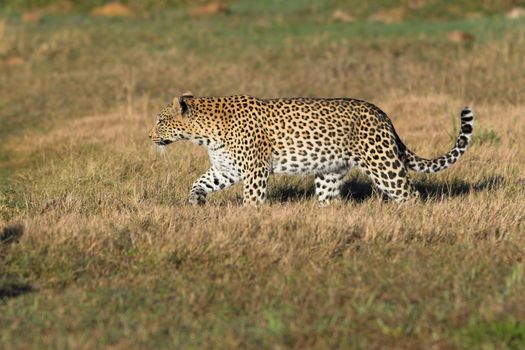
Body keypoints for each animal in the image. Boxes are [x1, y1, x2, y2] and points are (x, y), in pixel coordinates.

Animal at [148, 93, 474, 206]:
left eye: (160, 120)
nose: (149, 136)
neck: (204, 133)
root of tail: (382, 114)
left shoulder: (255, 171)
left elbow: (252, 199)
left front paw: (250, 216)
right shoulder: (226, 169)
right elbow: (200, 181)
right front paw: (195, 199)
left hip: (382, 164)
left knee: (409, 193)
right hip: (330, 171)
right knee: (329, 199)